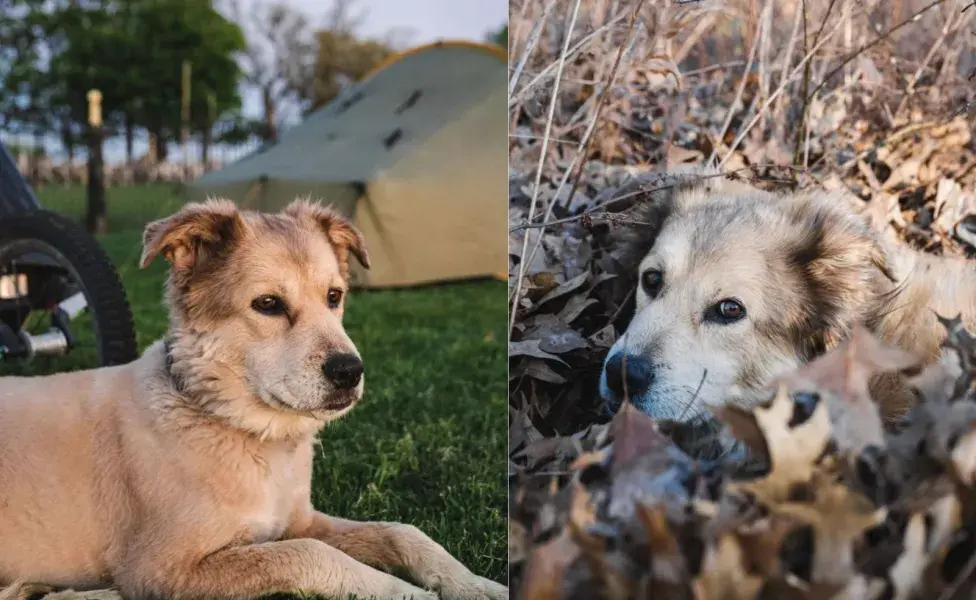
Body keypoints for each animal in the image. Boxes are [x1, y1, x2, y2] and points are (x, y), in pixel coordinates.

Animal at [0, 200, 508, 600]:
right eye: (267, 304)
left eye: (335, 296)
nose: (350, 371)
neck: (242, 430)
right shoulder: (161, 569)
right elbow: (308, 555)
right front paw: (407, 593)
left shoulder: (299, 520)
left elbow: (402, 531)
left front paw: (471, 584)